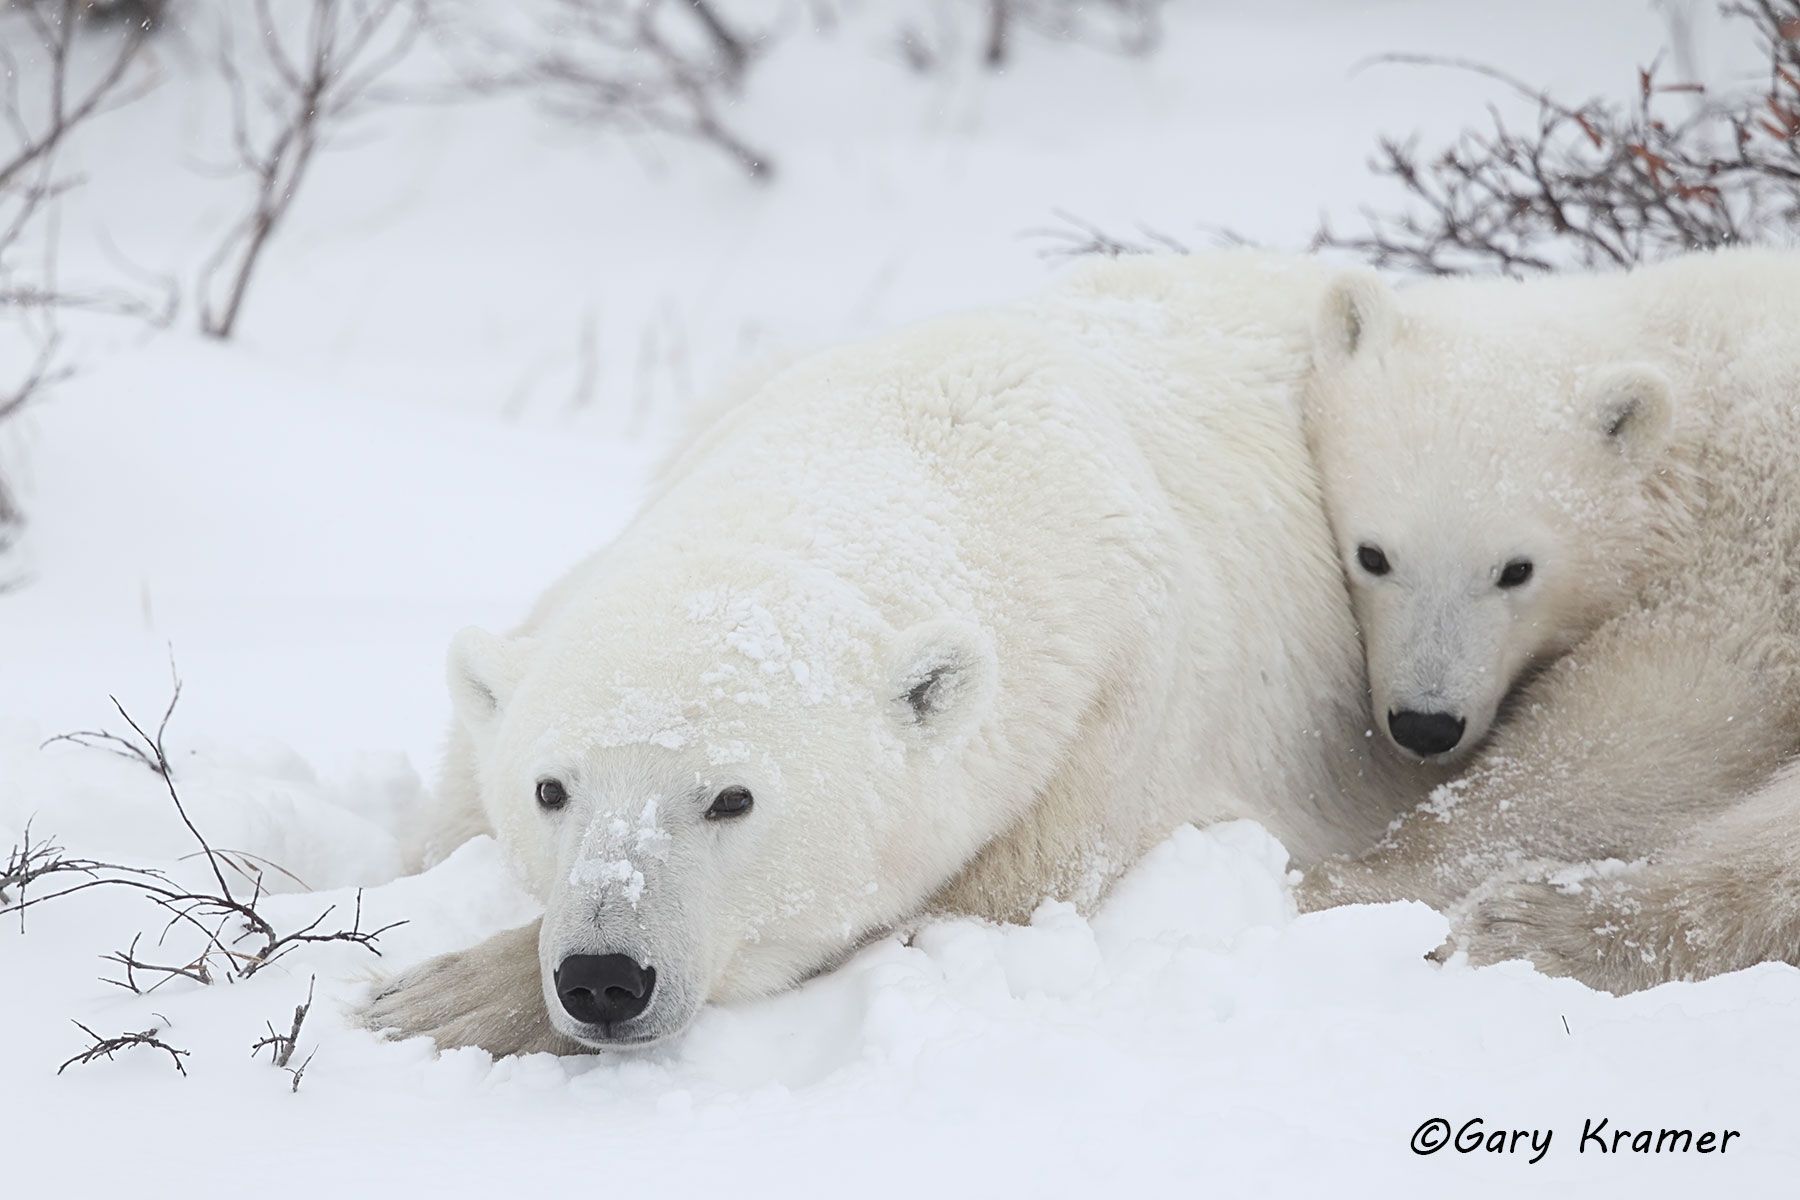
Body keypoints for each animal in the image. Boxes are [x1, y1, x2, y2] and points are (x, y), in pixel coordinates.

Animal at [365, 249, 1449, 1056]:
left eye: (731, 798)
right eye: (551, 789)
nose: (603, 977)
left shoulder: (1113, 718)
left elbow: (973, 895)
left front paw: (446, 996)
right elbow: (443, 819)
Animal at [1296, 247, 1800, 993]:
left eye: (1516, 570)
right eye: (1373, 555)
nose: (1425, 724)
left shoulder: (1752, 560)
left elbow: (1644, 726)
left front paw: (1348, 880)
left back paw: (1538, 925)